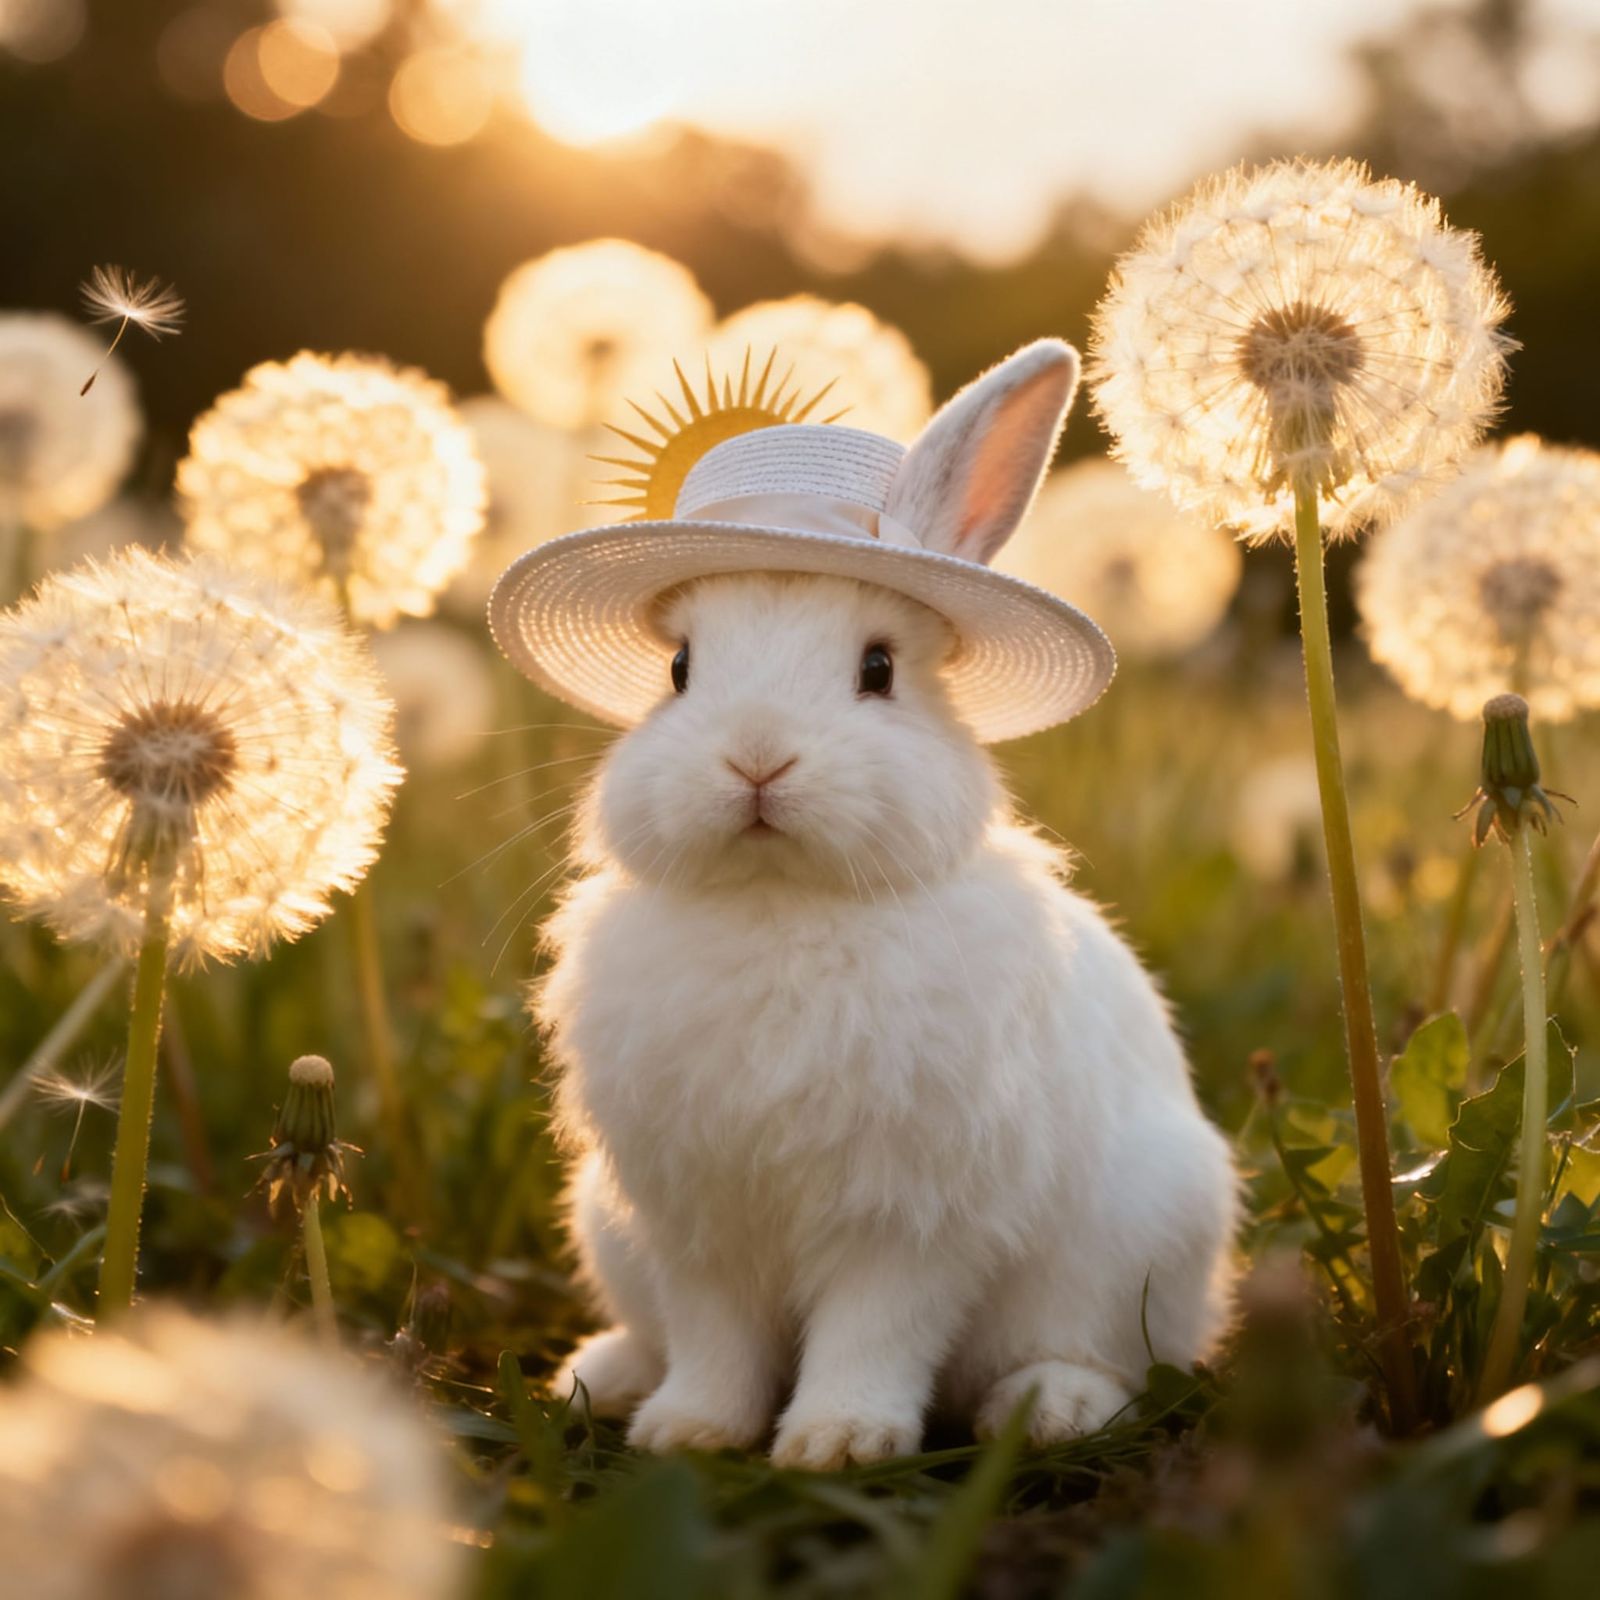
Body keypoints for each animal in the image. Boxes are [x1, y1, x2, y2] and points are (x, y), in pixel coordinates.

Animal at [533, 341, 1238, 1469]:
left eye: (878, 669)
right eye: (678, 669)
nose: (757, 757)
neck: (785, 901)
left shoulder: (908, 1218)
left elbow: (874, 1330)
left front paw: (839, 1440)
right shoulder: (698, 1222)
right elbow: (715, 1339)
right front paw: (691, 1432)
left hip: (1135, 1241)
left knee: (1104, 1360)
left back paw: (1048, 1409)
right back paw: (602, 1377)